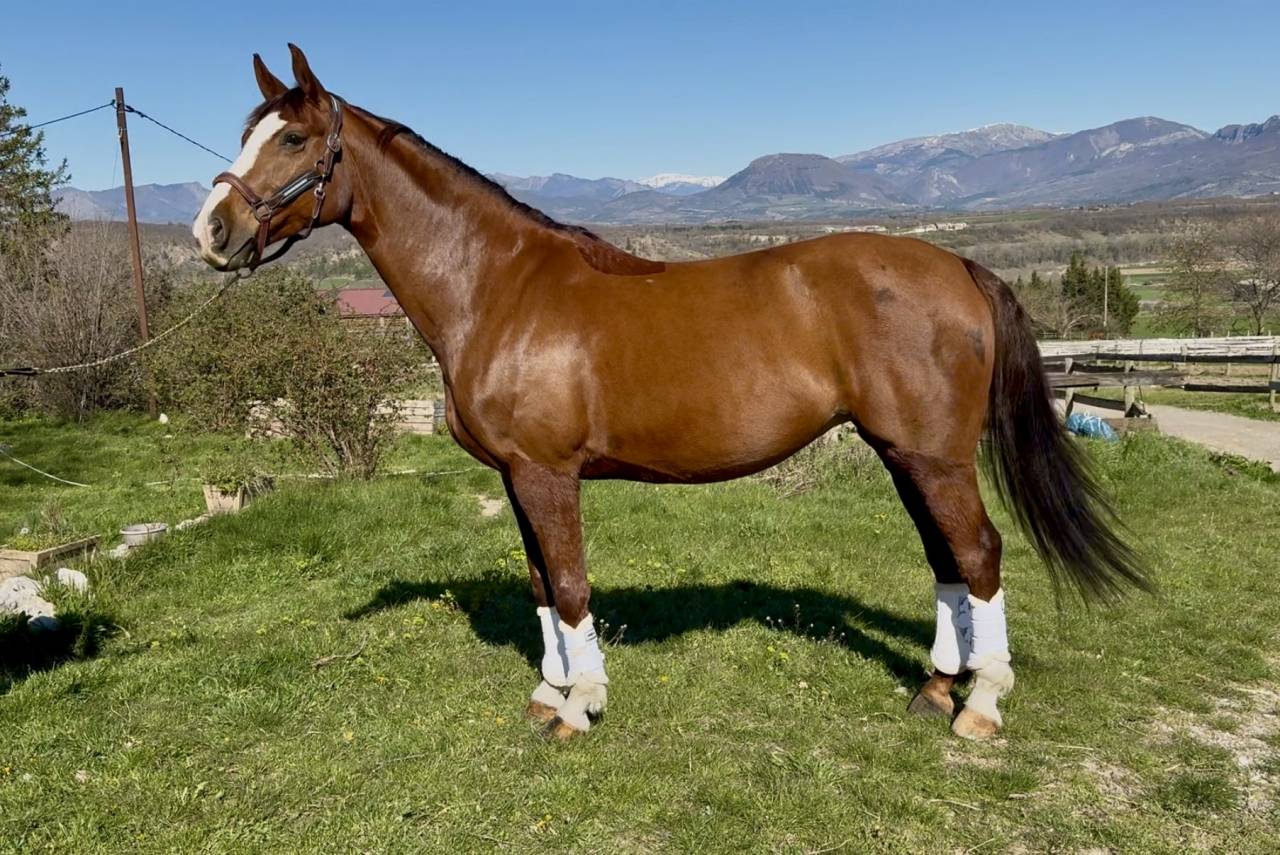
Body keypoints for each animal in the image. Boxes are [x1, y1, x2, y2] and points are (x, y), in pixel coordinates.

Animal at [193, 45, 1147, 741]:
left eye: (290, 140)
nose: (212, 231)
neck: (497, 287)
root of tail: (956, 264)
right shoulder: (515, 475)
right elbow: (541, 585)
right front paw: (549, 693)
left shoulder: (547, 473)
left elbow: (571, 585)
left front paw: (581, 708)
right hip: (905, 452)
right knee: (948, 560)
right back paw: (934, 688)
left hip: (935, 455)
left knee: (979, 554)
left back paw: (979, 707)